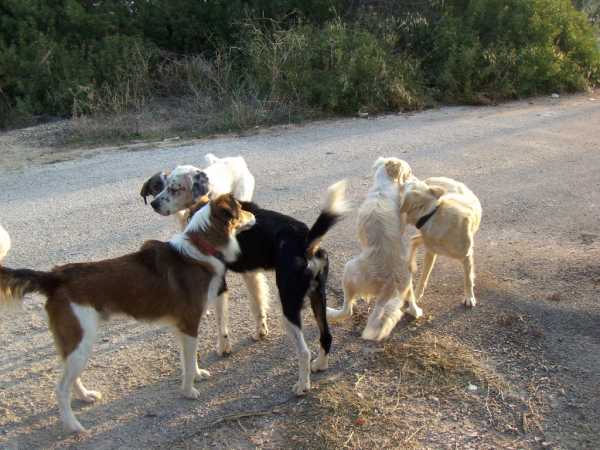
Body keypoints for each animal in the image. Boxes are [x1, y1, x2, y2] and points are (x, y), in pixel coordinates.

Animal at [0, 193, 255, 432]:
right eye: (241, 209)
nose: (254, 215)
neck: (201, 247)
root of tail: (55, 276)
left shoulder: (182, 327)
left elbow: (189, 360)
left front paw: (198, 375)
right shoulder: (190, 323)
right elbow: (190, 362)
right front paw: (189, 391)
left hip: (75, 344)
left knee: (69, 379)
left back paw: (85, 396)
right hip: (81, 341)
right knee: (61, 388)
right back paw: (73, 426)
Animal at [141, 155, 268, 356]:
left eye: (175, 188)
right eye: (157, 187)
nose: (154, 204)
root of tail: (234, 158)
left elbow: (254, 301)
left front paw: (254, 332)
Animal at [326, 158, 420, 342]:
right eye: (410, 172)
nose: (416, 179)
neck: (382, 188)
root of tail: (390, 285)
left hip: (349, 269)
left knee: (347, 310)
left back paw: (330, 312)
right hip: (407, 277)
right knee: (412, 302)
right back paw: (415, 310)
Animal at [398, 176, 482, 306]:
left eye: (408, 183)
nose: (407, 175)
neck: (432, 214)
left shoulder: (467, 255)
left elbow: (467, 278)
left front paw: (469, 297)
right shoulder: (430, 252)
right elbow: (423, 277)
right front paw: (416, 296)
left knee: (414, 240)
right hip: (426, 240)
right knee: (414, 240)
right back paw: (410, 263)